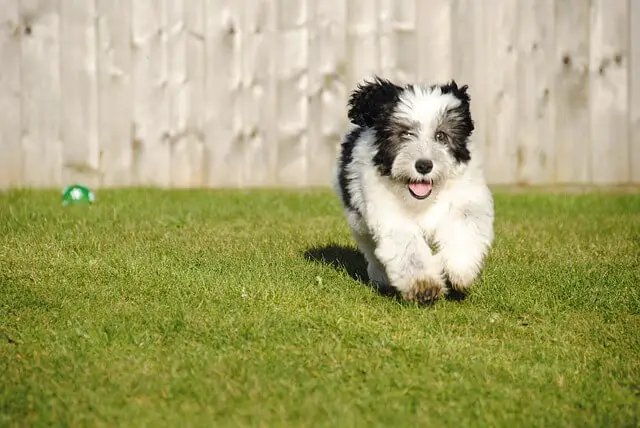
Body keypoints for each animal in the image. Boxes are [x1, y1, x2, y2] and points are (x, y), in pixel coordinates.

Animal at [336, 77, 496, 304]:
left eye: (441, 136)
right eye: (405, 134)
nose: (424, 165)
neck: (423, 199)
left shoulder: (466, 197)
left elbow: (464, 225)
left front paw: (460, 268)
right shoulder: (389, 214)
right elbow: (407, 246)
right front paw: (424, 285)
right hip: (358, 222)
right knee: (371, 250)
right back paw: (380, 277)